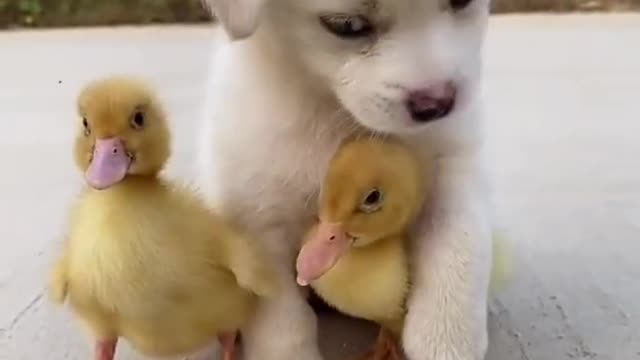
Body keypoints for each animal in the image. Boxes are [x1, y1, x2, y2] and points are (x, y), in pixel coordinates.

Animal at [198, 0, 492, 360]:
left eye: (462, 2)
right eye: (347, 25)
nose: (437, 104)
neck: (333, 115)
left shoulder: (452, 172)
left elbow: (457, 249)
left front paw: (445, 339)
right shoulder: (258, 219)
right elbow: (284, 324)